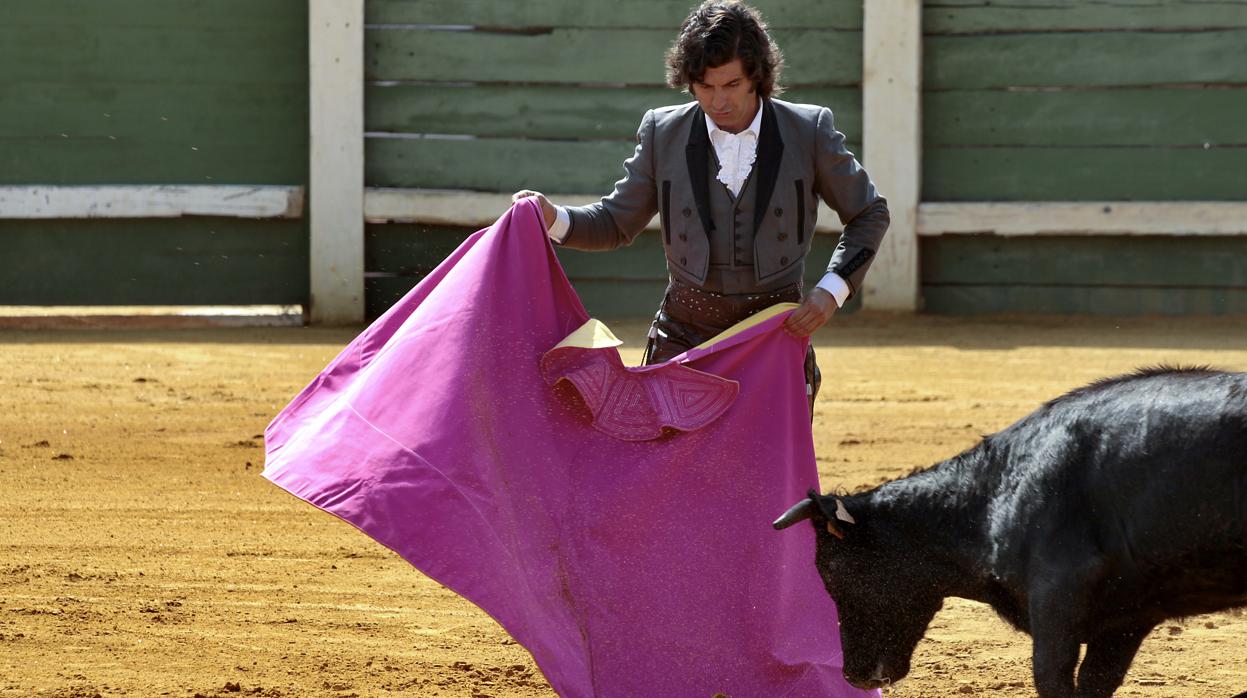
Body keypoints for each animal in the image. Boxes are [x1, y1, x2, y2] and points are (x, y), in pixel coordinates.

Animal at [778, 368, 1247, 693]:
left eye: (832, 571)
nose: (854, 677)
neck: (997, 492)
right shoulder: (1125, 621)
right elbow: (1095, 682)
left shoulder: (1056, 599)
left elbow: (1051, 679)